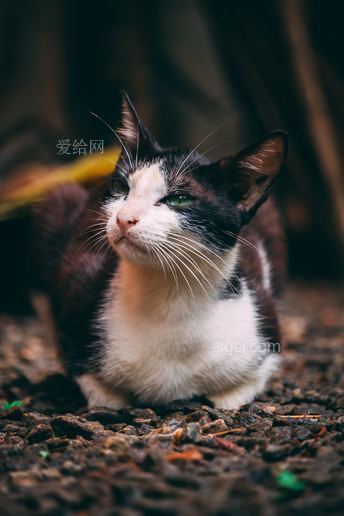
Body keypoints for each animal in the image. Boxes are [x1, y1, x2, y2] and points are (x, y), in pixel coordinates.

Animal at [33, 90, 288, 410]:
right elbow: (97, 388)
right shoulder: (75, 311)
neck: (169, 295)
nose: (124, 218)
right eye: (120, 187)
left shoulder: (265, 331)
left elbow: (241, 390)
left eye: (179, 199)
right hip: (58, 199)